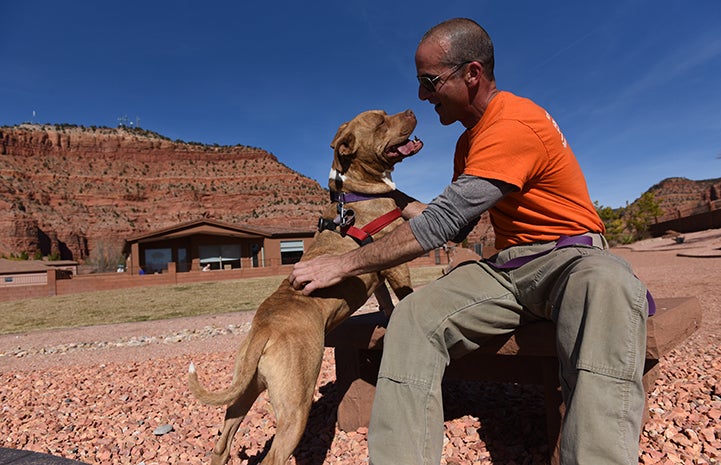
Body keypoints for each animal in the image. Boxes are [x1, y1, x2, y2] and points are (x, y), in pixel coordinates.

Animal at [187, 109, 422, 464]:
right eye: (380, 121)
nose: (410, 110)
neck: (356, 192)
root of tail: (265, 328)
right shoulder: (394, 260)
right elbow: (404, 292)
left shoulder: (376, 270)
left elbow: (386, 301)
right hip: (295, 406)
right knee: (273, 457)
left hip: (245, 390)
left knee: (222, 443)